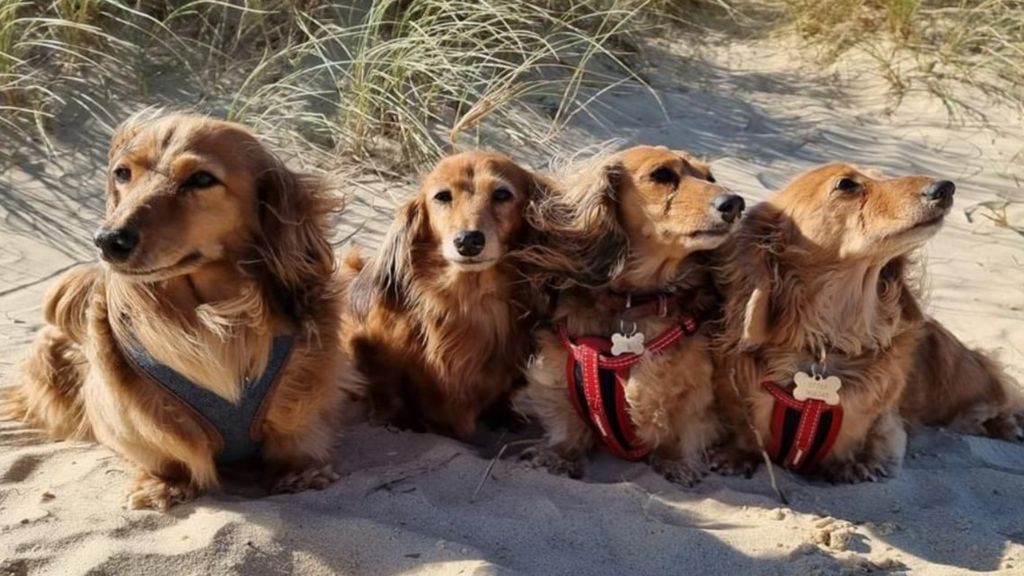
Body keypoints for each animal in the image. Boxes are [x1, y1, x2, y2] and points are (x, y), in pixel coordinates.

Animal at [520, 145, 745, 481]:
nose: (735, 203)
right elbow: (567, 420)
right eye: (661, 174)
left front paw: (674, 462)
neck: (634, 303)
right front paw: (559, 454)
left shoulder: (696, 390)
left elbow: (683, 425)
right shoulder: (559, 370)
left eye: (710, 177)